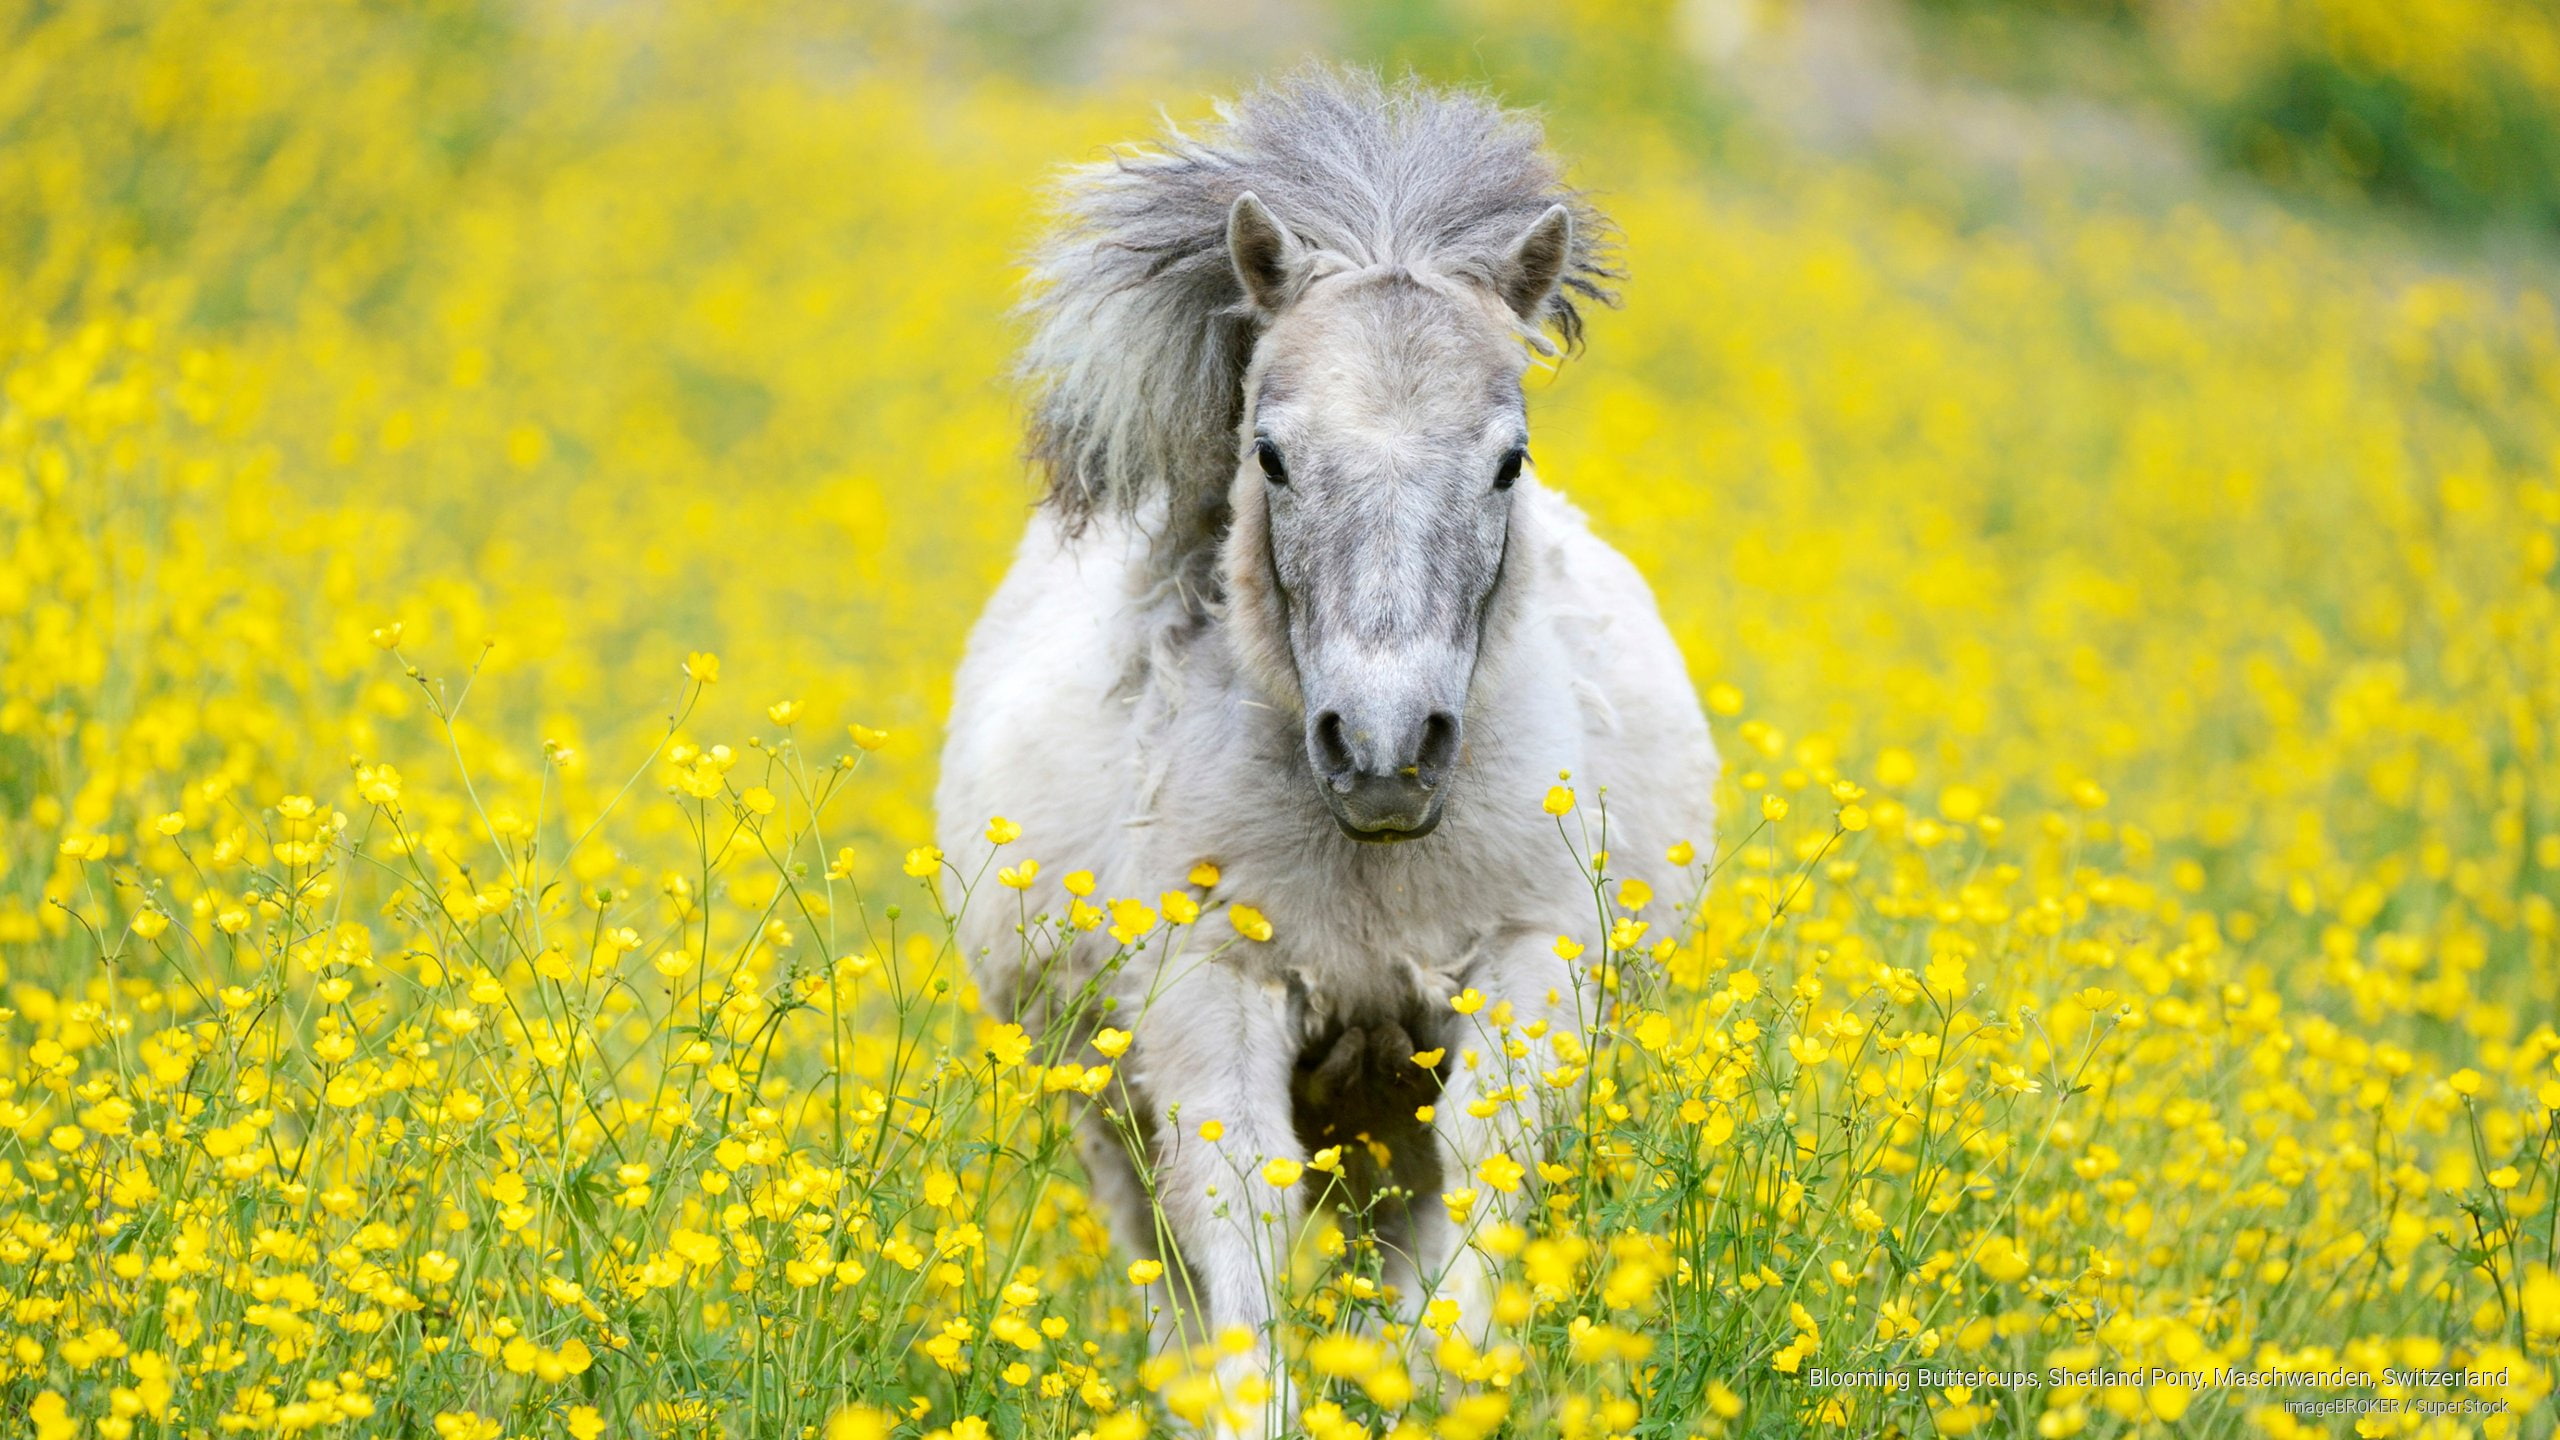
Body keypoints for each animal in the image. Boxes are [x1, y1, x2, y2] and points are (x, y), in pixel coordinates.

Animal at [935, 68, 1718, 1433]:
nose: (1386, 750)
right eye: (1272, 454)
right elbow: (1237, 1207)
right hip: (1101, 1095)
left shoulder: (1522, 976)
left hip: (1378, 1101)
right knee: (1160, 1259)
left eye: (1508, 461)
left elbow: (1477, 1192)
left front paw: (1438, 1393)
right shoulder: (1210, 993)